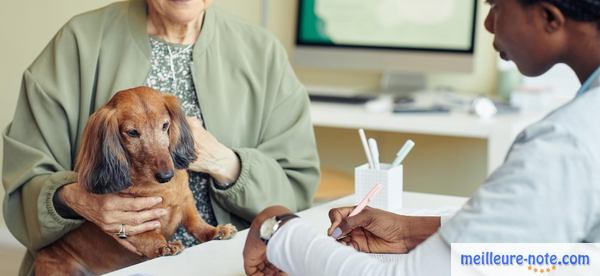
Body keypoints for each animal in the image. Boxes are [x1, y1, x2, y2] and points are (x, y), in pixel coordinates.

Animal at [34, 85, 238, 274]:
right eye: (132, 132)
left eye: (165, 125)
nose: (166, 176)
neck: (161, 189)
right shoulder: (135, 220)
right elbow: (150, 236)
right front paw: (164, 246)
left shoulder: (186, 200)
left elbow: (196, 223)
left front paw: (215, 231)